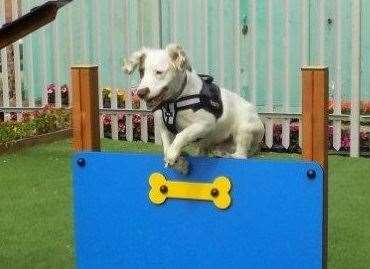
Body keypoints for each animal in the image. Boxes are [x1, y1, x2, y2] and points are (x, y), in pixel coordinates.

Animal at [123, 43, 264, 174]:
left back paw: (227, 155)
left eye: (159, 72)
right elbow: (167, 147)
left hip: (244, 130)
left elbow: (182, 135)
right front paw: (179, 163)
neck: (174, 101)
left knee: (241, 155)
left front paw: (173, 155)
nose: (140, 93)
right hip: (208, 143)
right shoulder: (164, 128)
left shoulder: (205, 123)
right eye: (141, 72)